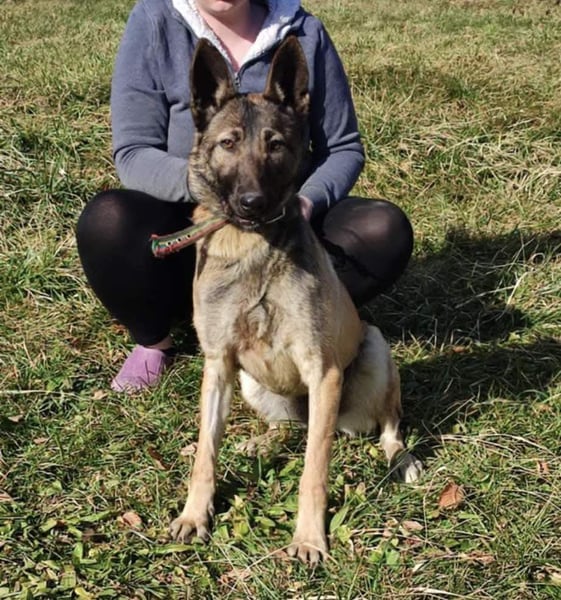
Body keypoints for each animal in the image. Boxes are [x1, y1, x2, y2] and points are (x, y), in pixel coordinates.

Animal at [169, 36, 422, 565]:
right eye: (228, 143)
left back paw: (400, 458)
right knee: (291, 429)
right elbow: (205, 452)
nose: (251, 203)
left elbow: (313, 472)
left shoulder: (322, 369)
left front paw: (308, 538)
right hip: (250, 383)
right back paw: (263, 442)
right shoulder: (218, 363)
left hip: (375, 350)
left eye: (276, 145)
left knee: (387, 425)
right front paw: (195, 513)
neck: (251, 247)